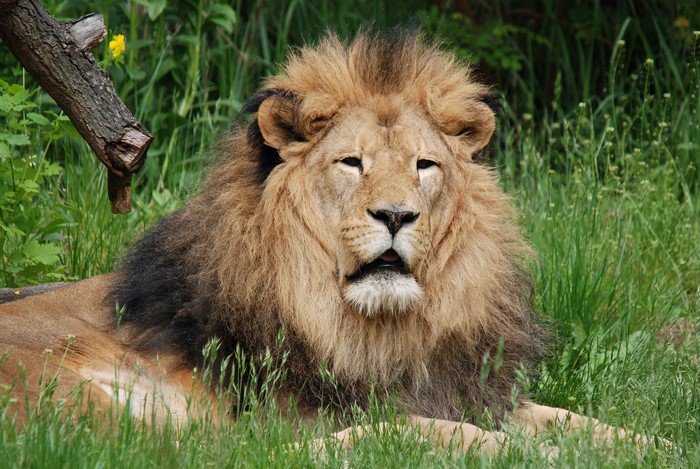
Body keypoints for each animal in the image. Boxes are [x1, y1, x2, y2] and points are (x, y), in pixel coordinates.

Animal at [0, 32, 651, 452]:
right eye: (351, 163)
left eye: (425, 165)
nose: (396, 215)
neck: (382, 329)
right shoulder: (295, 410)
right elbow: (434, 428)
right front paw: (518, 449)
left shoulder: (464, 388)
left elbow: (569, 418)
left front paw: (645, 443)